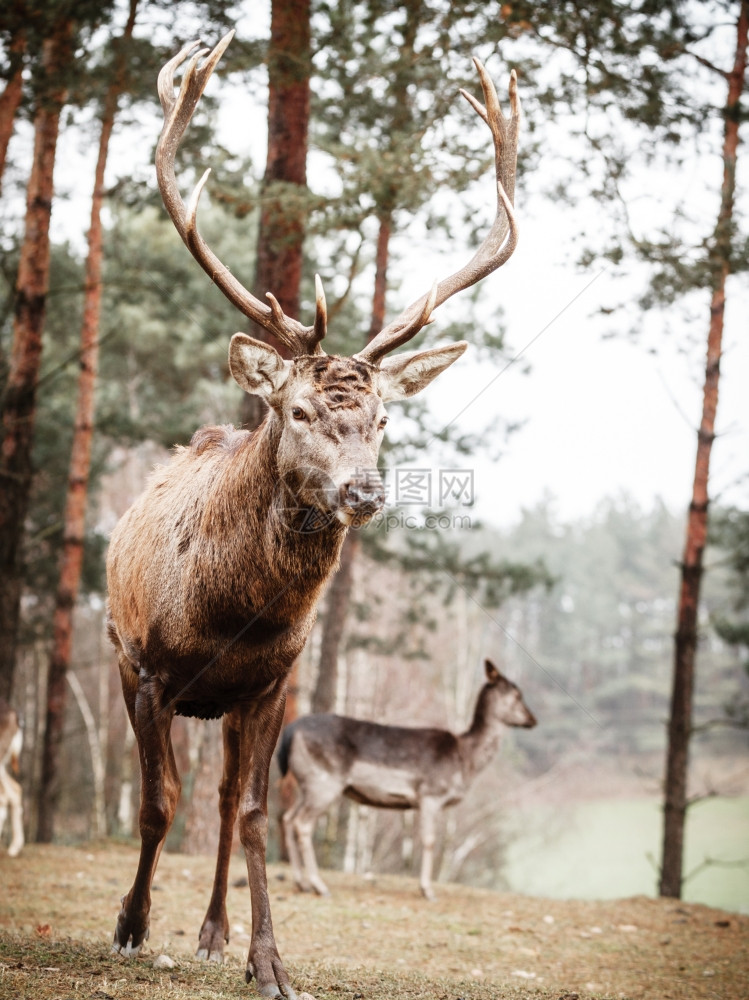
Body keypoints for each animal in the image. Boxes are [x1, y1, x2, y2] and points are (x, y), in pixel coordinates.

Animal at [278, 660, 536, 904]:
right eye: (516, 694)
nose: (532, 719)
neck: (465, 761)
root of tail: (290, 732)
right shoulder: (430, 794)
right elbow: (429, 840)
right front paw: (427, 891)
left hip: (306, 784)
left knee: (288, 818)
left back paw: (302, 883)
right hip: (324, 782)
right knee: (302, 823)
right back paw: (319, 885)